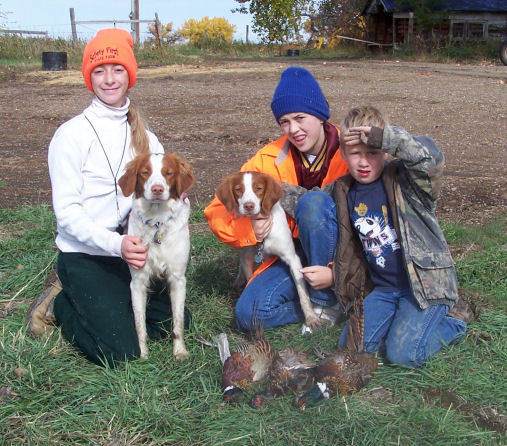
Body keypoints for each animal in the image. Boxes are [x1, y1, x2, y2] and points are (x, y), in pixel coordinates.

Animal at [118, 152, 194, 358]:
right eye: (145, 172)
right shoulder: (137, 282)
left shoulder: (178, 279)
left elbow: (178, 322)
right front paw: (142, 354)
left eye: (168, 173)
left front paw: (180, 351)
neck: (157, 222)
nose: (157, 189)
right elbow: (139, 324)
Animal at [215, 172, 322, 330]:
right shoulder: (248, 258)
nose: (248, 206)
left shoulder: (293, 258)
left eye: (258, 188)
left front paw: (311, 317)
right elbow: (249, 277)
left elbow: (302, 292)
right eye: (238, 189)